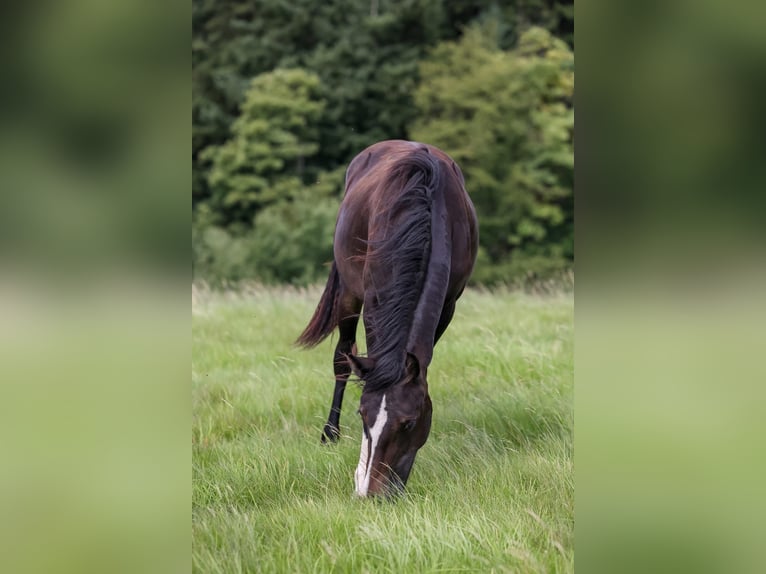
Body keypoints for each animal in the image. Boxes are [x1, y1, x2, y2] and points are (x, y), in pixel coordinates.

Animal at [297, 139, 478, 497]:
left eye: (409, 423)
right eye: (362, 415)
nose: (374, 494)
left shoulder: (448, 304)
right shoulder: (372, 299)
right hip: (348, 293)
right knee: (342, 358)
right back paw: (330, 434)